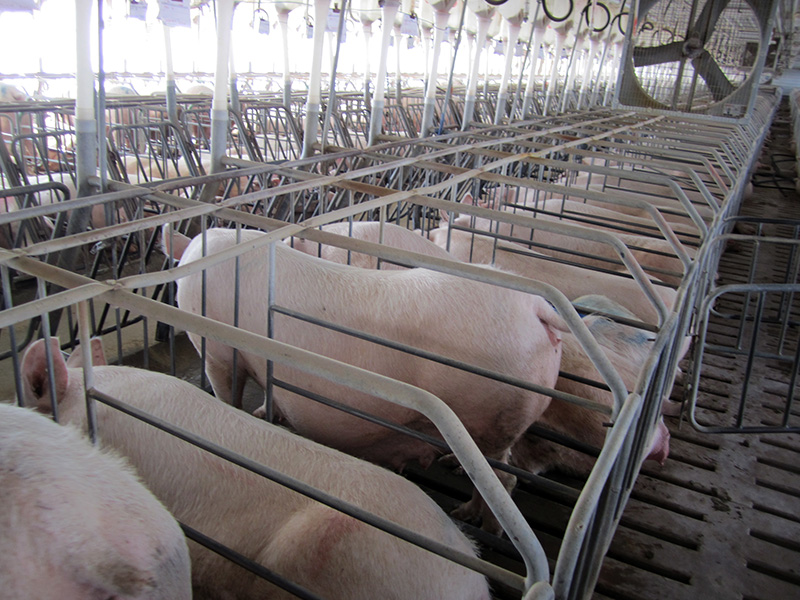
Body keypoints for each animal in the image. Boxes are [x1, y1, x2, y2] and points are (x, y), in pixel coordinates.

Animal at [166, 225, 564, 528]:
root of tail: (537, 309)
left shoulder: (217, 352)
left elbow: (228, 394)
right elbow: (269, 393)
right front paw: (265, 414)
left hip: (488, 416)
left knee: (504, 481)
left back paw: (469, 518)